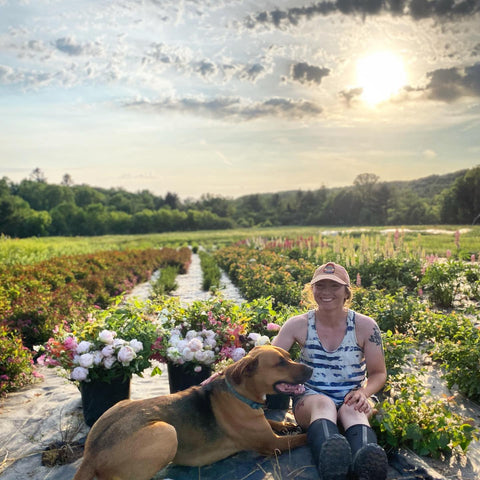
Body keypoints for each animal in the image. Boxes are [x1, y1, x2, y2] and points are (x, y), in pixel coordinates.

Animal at [71, 344, 312, 480]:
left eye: (288, 356)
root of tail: (90, 454)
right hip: (166, 432)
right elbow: (305, 436)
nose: (311, 369)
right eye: (280, 363)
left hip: (120, 404)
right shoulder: (273, 444)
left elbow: (272, 422)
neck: (239, 393)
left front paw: (286, 424)